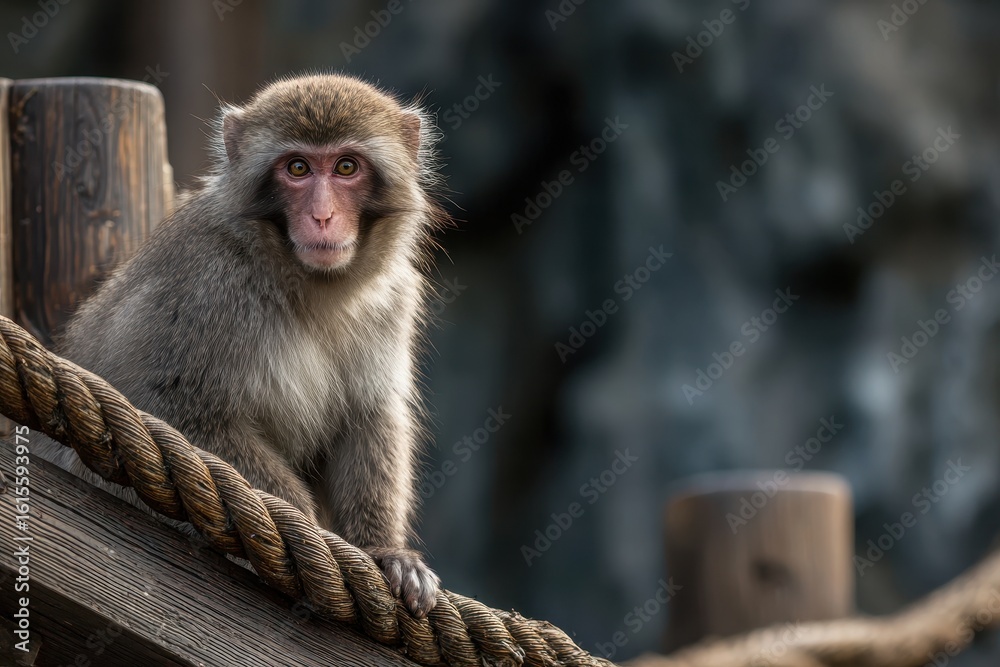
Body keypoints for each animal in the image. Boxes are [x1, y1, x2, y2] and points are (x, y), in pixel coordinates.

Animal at [35, 74, 445, 616]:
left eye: (346, 167)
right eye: (297, 168)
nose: (322, 216)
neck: (304, 283)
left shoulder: (393, 297)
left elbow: (369, 414)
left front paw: (386, 552)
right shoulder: (209, 284)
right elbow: (172, 403)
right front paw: (305, 531)